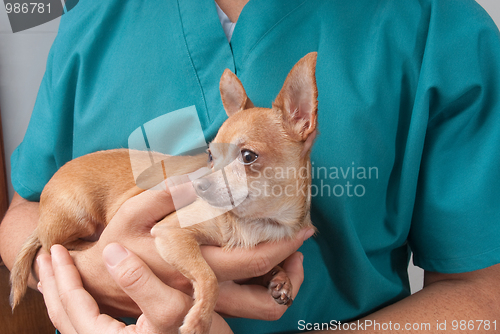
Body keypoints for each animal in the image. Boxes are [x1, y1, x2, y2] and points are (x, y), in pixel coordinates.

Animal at [11, 52, 318, 334]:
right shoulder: (171, 232)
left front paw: (278, 278)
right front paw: (199, 320)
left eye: (248, 156)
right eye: (210, 156)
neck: (259, 223)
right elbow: (208, 275)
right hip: (78, 214)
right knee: (52, 244)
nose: (199, 185)